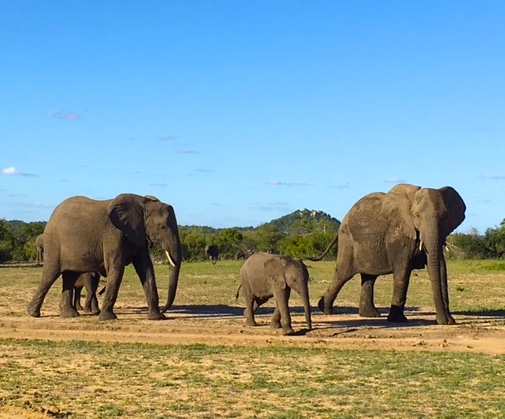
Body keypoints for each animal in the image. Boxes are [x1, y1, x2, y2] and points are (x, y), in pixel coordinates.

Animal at [27, 193, 182, 321]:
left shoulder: (139, 234)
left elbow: (146, 269)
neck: (143, 203)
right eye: (163, 227)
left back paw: (69, 315)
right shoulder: (113, 234)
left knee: (69, 276)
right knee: (50, 275)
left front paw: (156, 317)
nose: (164, 310)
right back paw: (33, 313)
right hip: (54, 243)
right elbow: (116, 268)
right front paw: (107, 318)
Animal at [312, 184, 466, 325]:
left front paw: (449, 321)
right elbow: (403, 271)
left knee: (369, 278)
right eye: (417, 216)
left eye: (445, 216)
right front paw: (398, 320)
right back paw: (325, 309)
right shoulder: (399, 234)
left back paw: (370, 315)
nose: (443, 321)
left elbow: (441, 269)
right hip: (347, 241)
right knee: (342, 274)